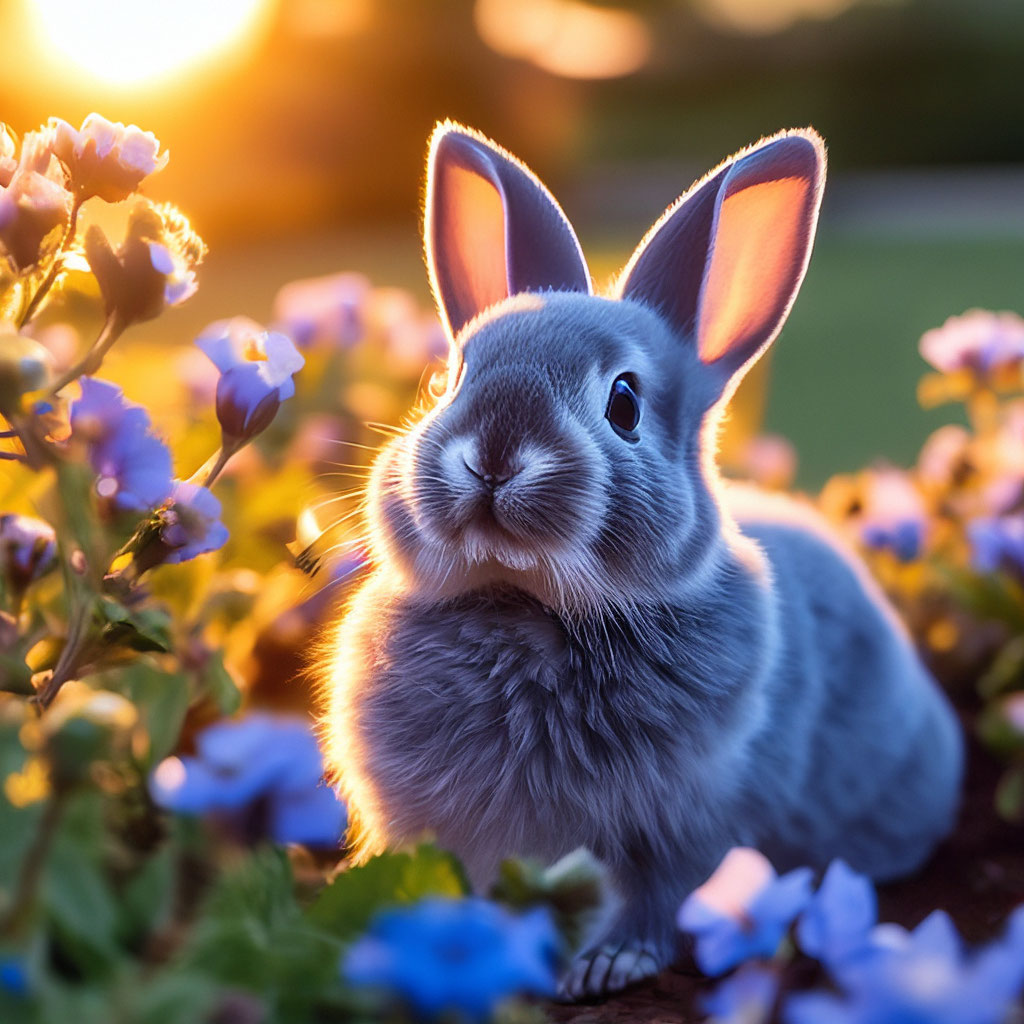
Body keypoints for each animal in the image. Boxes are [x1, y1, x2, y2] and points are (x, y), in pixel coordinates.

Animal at [317, 125, 958, 999]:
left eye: (624, 403)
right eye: (448, 380)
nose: (492, 455)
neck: (530, 603)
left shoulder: (684, 820)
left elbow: (657, 899)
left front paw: (605, 967)